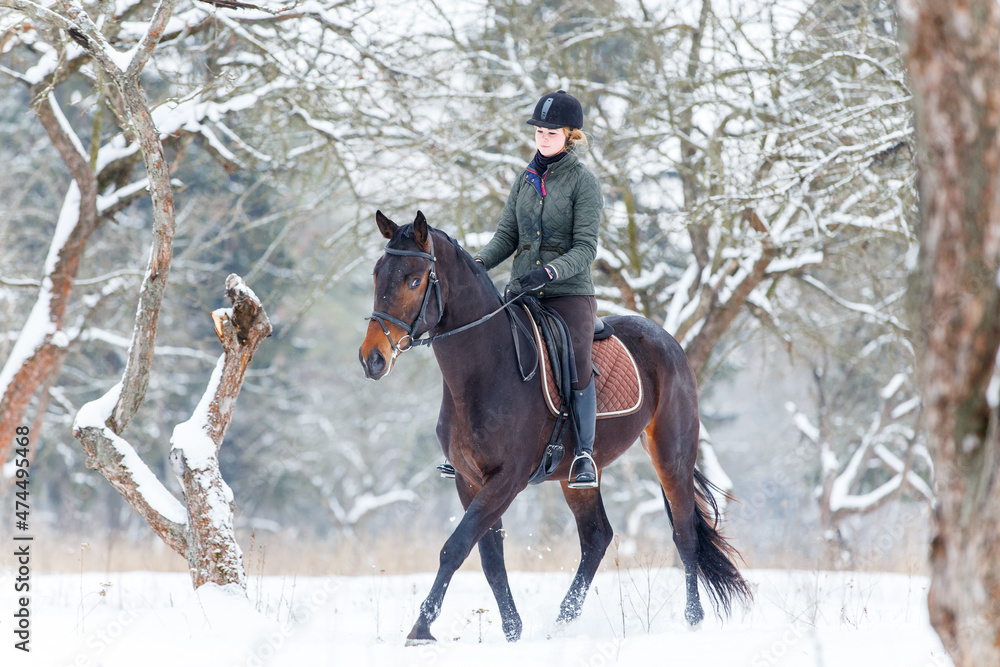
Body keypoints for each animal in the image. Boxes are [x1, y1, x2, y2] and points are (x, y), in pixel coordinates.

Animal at [359, 210, 752, 644]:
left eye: (414, 280)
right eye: (377, 274)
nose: (372, 359)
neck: (485, 370)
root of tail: (667, 340)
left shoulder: (506, 480)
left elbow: (456, 546)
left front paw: (422, 628)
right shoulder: (469, 479)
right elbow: (489, 557)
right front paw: (513, 631)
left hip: (671, 456)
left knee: (684, 534)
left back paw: (693, 619)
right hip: (576, 476)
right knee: (597, 537)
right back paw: (563, 619)